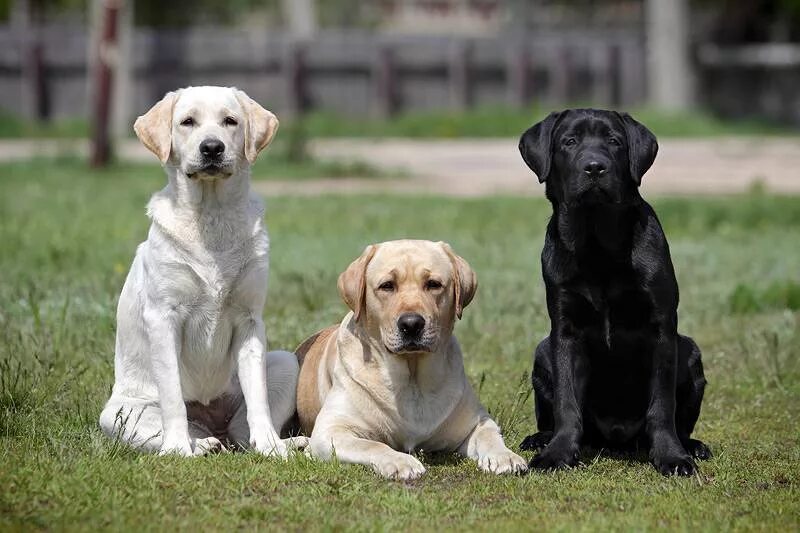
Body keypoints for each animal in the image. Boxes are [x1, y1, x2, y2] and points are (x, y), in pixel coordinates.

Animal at [97, 85, 304, 456]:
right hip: (117, 413)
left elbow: (258, 397)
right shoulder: (163, 318)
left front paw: (270, 446)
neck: (212, 216)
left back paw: (283, 443)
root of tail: (213, 423)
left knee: (241, 433)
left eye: (230, 121)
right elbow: (172, 397)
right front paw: (178, 449)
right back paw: (199, 444)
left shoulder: (249, 319)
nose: (211, 147)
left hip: (286, 362)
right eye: (187, 122)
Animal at [520, 108, 708, 474]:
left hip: (691, 353)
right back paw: (540, 439)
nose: (595, 167)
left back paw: (691, 446)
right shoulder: (565, 331)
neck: (598, 245)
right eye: (569, 141)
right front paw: (557, 453)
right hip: (542, 352)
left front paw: (672, 456)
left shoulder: (661, 329)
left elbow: (661, 405)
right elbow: (567, 402)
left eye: (614, 141)